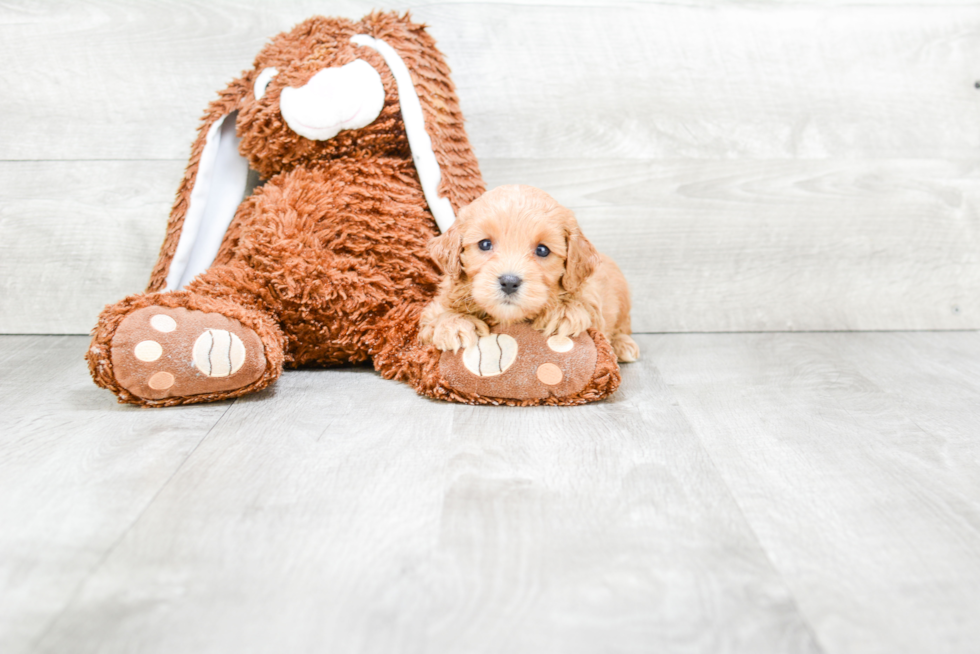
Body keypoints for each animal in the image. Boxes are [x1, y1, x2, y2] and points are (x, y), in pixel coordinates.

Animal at [418, 186, 640, 364]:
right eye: (485, 244)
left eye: (542, 250)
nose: (509, 282)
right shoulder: (430, 316)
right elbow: (434, 320)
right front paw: (454, 325)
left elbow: (584, 308)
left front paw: (563, 312)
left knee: (622, 328)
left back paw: (623, 345)